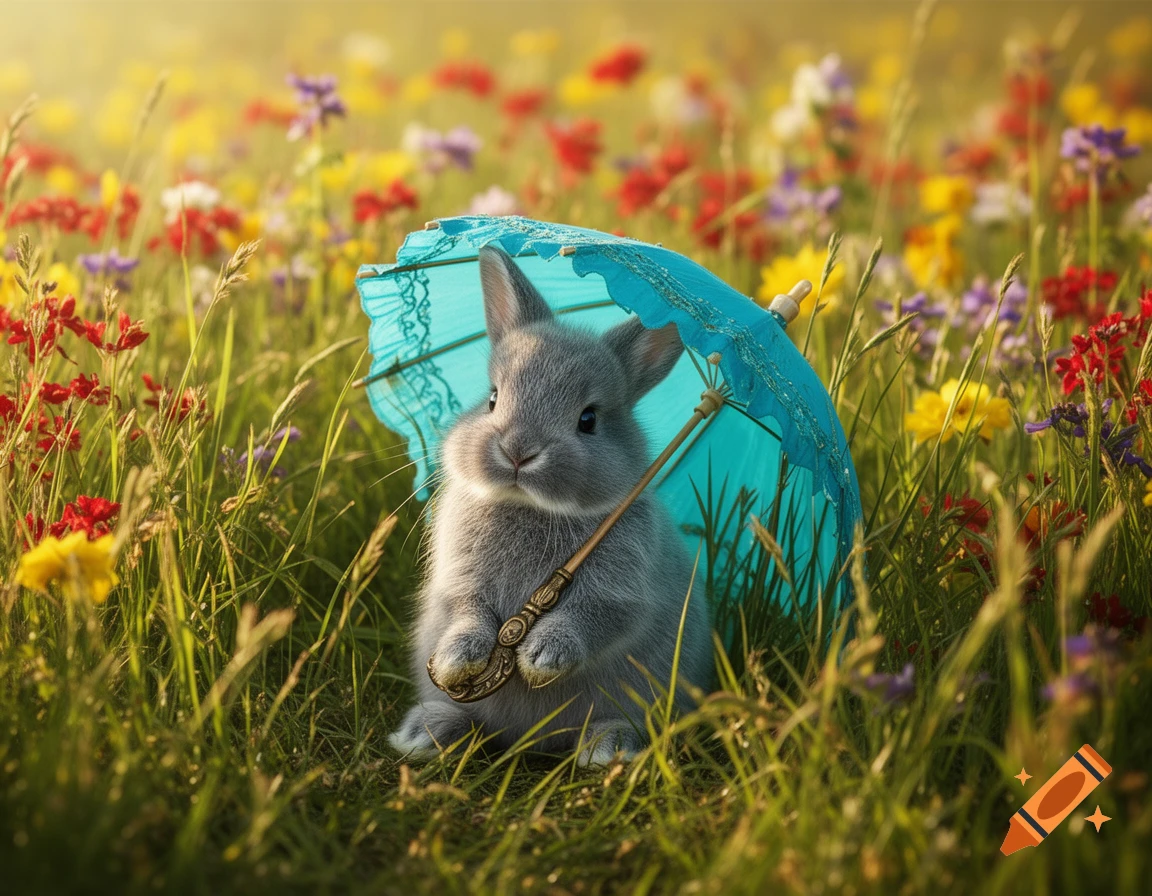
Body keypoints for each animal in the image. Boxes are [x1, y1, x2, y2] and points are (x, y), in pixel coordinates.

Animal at [387, 244, 713, 766]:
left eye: (588, 420)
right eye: (492, 398)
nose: (518, 450)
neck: (532, 506)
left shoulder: (620, 588)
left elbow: (595, 615)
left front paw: (540, 659)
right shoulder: (460, 577)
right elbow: (466, 609)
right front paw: (459, 660)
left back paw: (610, 748)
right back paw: (425, 733)